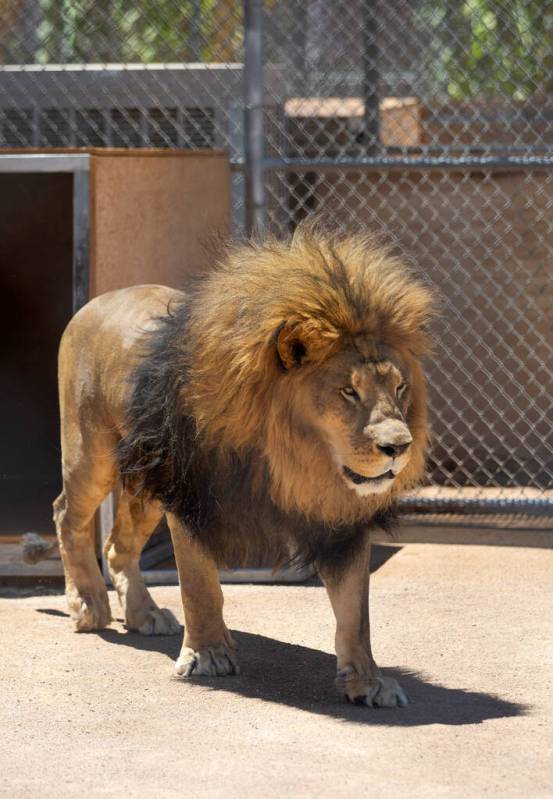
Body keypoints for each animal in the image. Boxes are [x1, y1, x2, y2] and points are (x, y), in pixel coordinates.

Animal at [47, 223, 434, 708]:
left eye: (400, 387)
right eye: (349, 391)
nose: (399, 446)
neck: (293, 460)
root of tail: (97, 300)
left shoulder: (340, 518)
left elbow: (355, 610)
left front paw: (367, 680)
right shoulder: (190, 495)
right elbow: (200, 586)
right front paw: (208, 655)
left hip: (147, 480)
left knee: (118, 544)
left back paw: (144, 613)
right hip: (92, 453)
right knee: (67, 514)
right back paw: (87, 604)